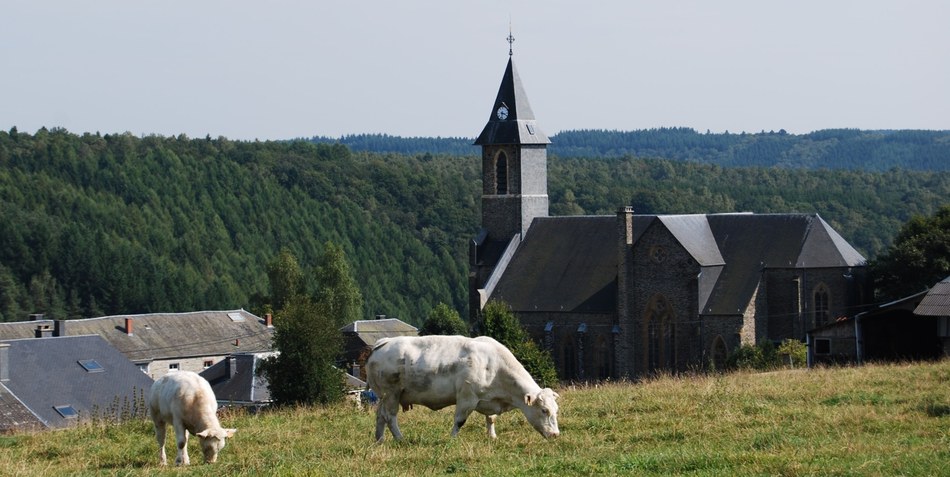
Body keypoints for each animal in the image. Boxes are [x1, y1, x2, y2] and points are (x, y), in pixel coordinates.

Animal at [365, 335, 560, 442]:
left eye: (556, 410)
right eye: (544, 410)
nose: (556, 434)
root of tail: (384, 342)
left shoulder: (489, 400)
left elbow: (491, 419)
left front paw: (492, 436)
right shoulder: (467, 398)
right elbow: (459, 421)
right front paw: (452, 439)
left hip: (384, 396)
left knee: (380, 416)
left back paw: (379, 440)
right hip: (392, 393)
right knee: (390, 417)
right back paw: (400, 439)